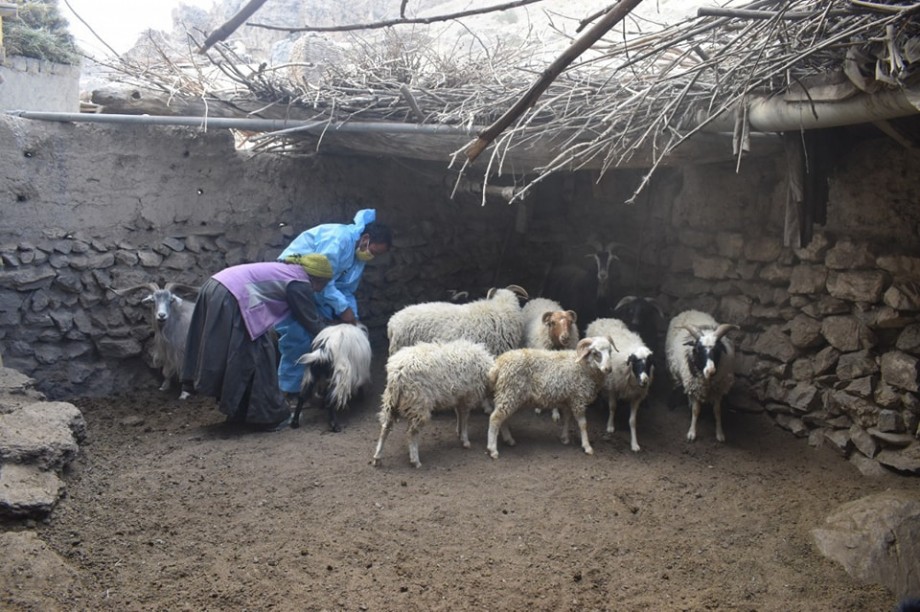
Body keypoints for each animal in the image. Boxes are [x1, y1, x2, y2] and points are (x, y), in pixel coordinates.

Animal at [370, 340, 504, 468]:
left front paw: (459, 432)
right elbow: (465, 418)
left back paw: (377, 457)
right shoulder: (468, 396)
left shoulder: (458, 396)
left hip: (391, 401)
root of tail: (398, 373)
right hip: (418, 403)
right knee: (412, 433)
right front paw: (465, 440)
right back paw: (415, 460)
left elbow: (459, 414)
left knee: (385, 428)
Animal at [482, 334, 620, 460]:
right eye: (595, 353)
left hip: (506, 395)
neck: (582, 366)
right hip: (510, 392)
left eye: (610, 351)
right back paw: (492, 450)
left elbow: (567, 419)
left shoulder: (569, 399)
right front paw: (587, 447)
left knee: (502, 418)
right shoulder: (578, 399)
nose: (608, 369)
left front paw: (565, 438)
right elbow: (583, 424)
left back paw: (509, 440)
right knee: (495, 418)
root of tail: (498, 365)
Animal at [584, 318, 656, 452]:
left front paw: (634, 444)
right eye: (635, 362)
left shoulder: (636, 396)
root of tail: (603, 319)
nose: (644, 381)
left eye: (649, 363)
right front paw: (610, 426)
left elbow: (632, 421)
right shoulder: (613, 387)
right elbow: (613, 407)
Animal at [664, 308, 736, 442]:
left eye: (717, 349)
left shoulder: (718, 389)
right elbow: (696, 411)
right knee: (675, 383)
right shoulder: (695, 386)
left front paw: (720, 433)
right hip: (674, 368)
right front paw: (692, 433)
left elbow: (717, 411)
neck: (708, 382)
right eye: (697, 349)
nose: (710, 371)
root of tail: (690, 310)